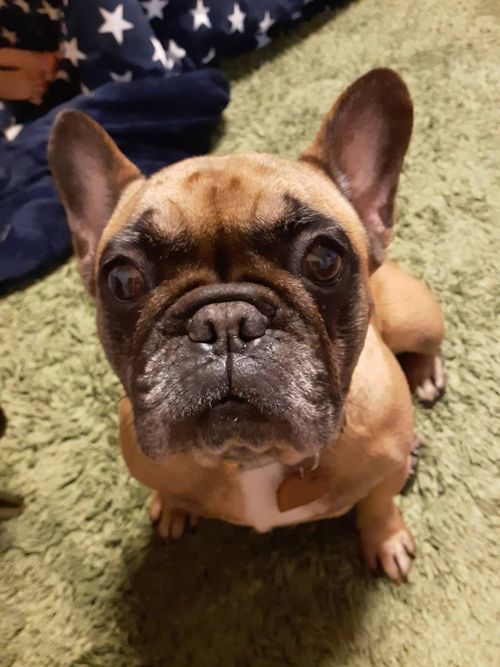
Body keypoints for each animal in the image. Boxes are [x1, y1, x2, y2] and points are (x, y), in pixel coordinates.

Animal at [48, 68, 445, 583]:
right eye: (122, 280)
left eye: (324, 259)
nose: (224, 322)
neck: (248, 457)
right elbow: (169, 490)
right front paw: (172, 507)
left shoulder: (386, 468)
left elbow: (378, 504)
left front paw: (386, 540)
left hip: (415, 316)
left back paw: (427, 374)